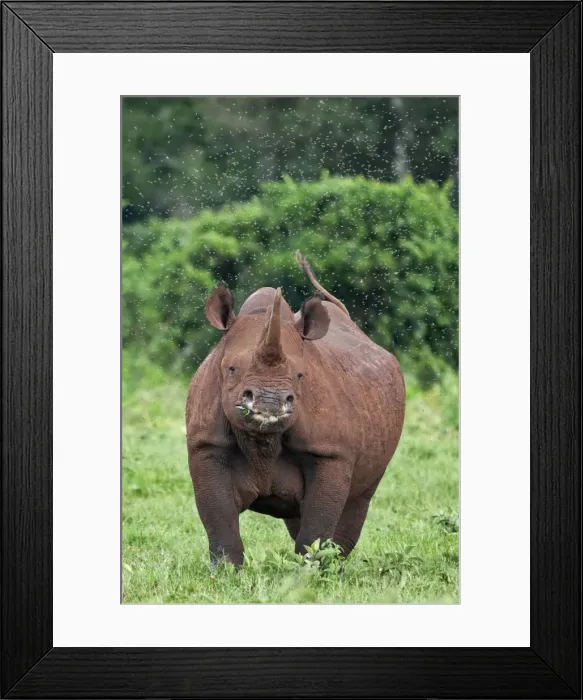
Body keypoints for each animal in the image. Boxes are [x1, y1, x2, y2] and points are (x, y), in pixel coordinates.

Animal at [186, 251, 405, 567]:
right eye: (231, 370)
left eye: (301, 375)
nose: (270, 402)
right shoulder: (207, 445)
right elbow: (220, 522)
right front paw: (225, 571)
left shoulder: (330, 452)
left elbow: (317, 528)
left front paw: (311, 572)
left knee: (357, 500)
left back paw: (336, 566)